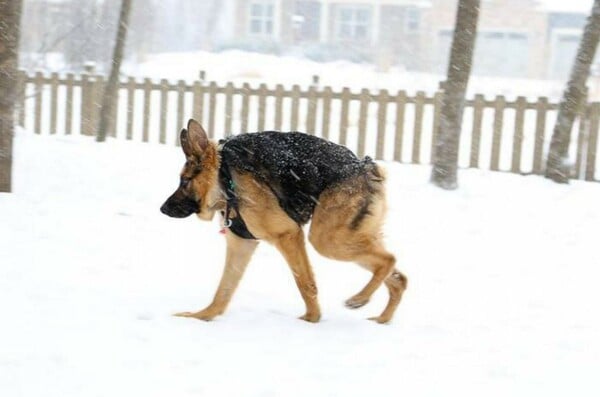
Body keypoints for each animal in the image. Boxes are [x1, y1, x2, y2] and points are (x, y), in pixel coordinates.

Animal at [161, 119, 408, 324]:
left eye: (185, 181)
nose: (162, 209)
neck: (224, 178)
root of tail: (366, 165)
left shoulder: (288, 235)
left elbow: (305, 282)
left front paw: (311, 319)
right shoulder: (242, 245)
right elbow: (223, 290)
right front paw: (202, 316)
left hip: (327, 240)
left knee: (388, 260)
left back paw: (360, 299)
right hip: (347, 237)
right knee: (398, 277)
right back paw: (382, 319)